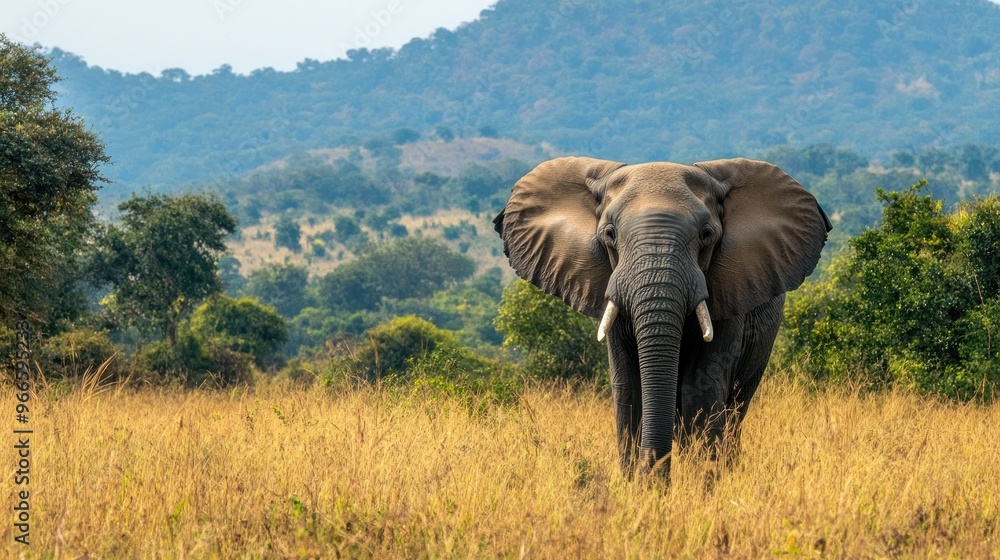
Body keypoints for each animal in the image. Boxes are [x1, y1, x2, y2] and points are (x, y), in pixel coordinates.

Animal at [493, 157, 831, 476]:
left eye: (707, 235)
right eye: (609, 234)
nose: (655, 478)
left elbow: (701, 385)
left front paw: (699, 487)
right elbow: (629, 385)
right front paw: (638, 488)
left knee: (734, 408)